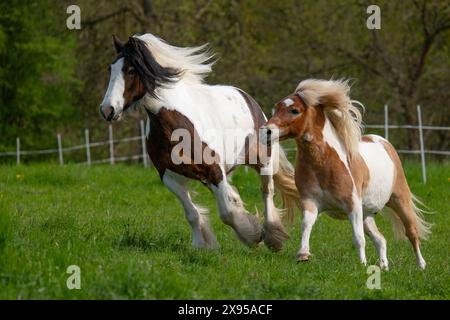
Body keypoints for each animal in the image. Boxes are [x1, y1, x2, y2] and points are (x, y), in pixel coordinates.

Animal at [100, 33, 300, 251]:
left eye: (130, 70)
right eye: (111, 68)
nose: (107, 110)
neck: (174, 125)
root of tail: (247, 98)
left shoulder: (214, 170)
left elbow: (227, 213)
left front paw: (252, 236)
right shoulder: (169, 176)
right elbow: (192, 213)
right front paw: (202, 246)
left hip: (262, 160)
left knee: (266, 192)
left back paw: (272, 237)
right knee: (235, 195)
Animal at [264, 79, 432, 268]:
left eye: (294, 110)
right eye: (276, 108)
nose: (266, 131)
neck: (324, 165)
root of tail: (383, 142)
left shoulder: (353, 205)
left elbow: (358, 238)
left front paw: (362, 265)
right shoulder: (310, 201)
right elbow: (306, 224)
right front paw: (303, 255)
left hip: (398, 200)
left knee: (412, 232)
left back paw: (421, 265)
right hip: (367, 215)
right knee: (381, 239)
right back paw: (384, 266)